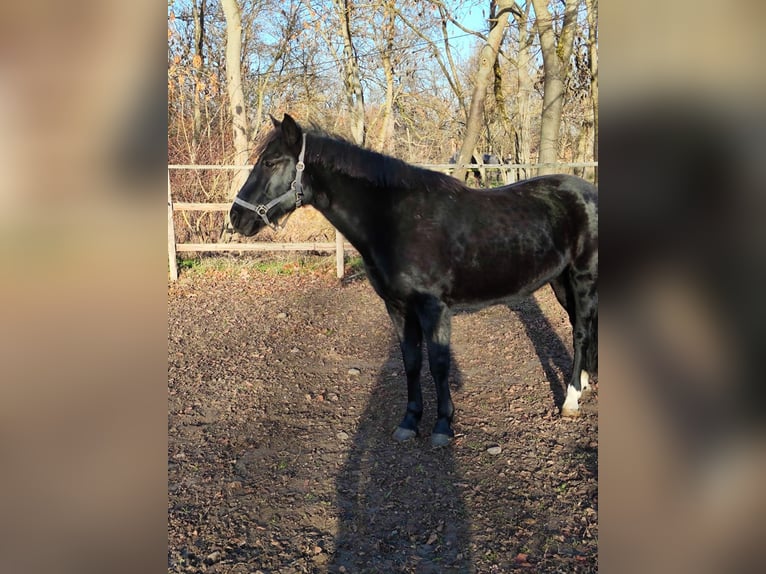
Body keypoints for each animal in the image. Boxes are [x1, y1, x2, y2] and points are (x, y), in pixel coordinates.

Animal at [230, 114, 598, 447]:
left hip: (583, 277)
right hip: (561, 282)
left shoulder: (433, 307)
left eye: (270, 162)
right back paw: (584, 383)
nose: (236, 216)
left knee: (580, 332)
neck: (397, 220)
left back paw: (571, 399)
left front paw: (443, 426)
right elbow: (411, 361)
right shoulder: (397, 306)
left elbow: (438, 363)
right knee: (582, 327)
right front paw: (409, 421)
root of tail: (589, 192)